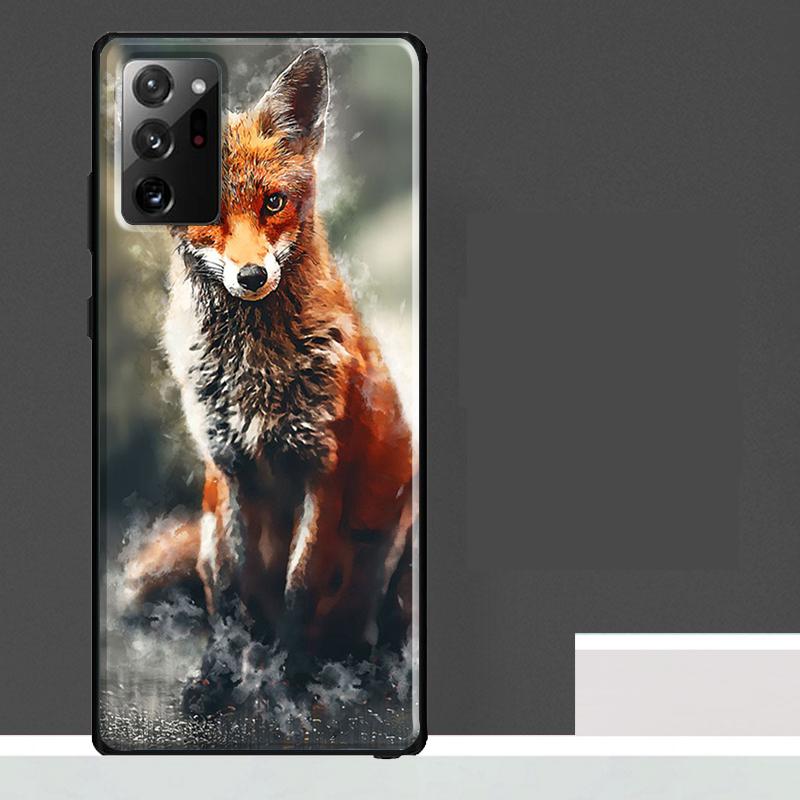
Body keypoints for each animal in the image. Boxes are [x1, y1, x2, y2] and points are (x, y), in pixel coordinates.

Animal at [124, 48, 415, 717]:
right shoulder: (228, 471)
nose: (253, 275)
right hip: (207, 527)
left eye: (274, 202)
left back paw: (370, 667)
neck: (256, 371)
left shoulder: (322, 470)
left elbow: (301, 587)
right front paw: (219, 675)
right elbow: (232, 599)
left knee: (382, 624)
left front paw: (289, 681)